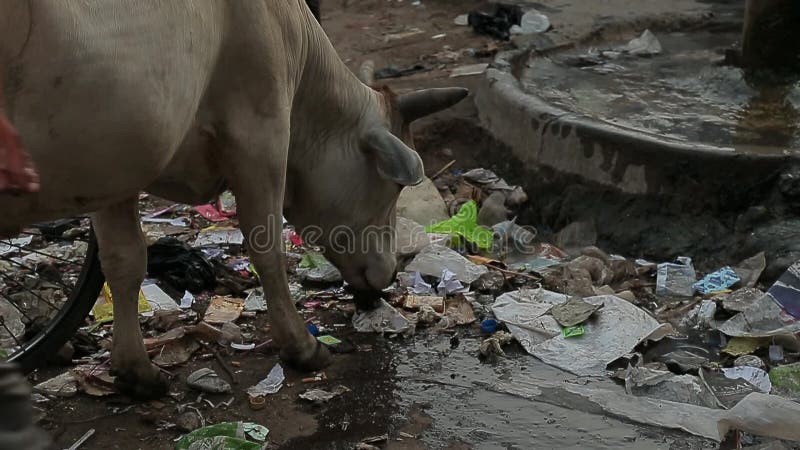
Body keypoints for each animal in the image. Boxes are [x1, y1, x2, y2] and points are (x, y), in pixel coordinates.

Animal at [0, 0, 466, 398]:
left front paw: (136, 370)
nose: (390, 273)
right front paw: (301, 346)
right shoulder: (261, 135)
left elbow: (124, 260)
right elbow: (267, 247)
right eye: (393, 188)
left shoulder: (116, 167)